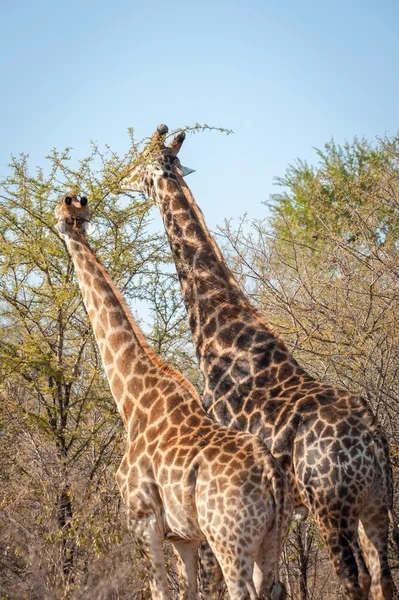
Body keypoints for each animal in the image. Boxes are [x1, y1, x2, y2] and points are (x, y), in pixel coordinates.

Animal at [54, 192, 294, 600]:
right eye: (75, 212)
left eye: (62, 210)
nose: (65, 216)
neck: (133, 401)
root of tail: (271, 477)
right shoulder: (184, 536)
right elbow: (188, 592)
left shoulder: (143, 520)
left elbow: (160, 592)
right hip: (272, 540)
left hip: (229, 540)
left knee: (241, 591)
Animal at [120, 124, 398, 596]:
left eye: (140, 164)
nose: (118, 181)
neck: (222, 340)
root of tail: (372, 439)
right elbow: (273, 584)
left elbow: (218, 583)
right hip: (377, 504)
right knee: (384, 578)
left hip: (331, 506)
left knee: (354, 577)